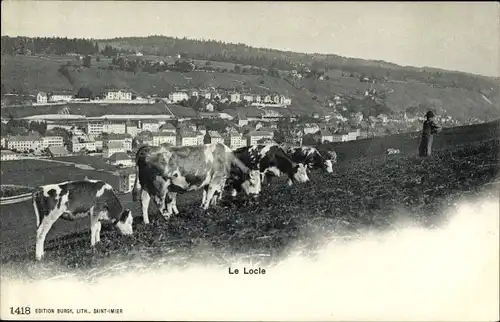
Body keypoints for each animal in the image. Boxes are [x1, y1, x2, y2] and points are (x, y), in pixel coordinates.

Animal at [131, 143, 264, 224]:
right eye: (252, 182)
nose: (257, 196)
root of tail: (147, 148)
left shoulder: (213, 181)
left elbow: (211, 194)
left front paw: (211, 205)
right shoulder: (216, 178)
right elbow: (210, 193)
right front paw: (205, 208)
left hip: (146, 185)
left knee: (144, 202)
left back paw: (147, 222)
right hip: (160, 184)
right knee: (159, 202)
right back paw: (167, 217)